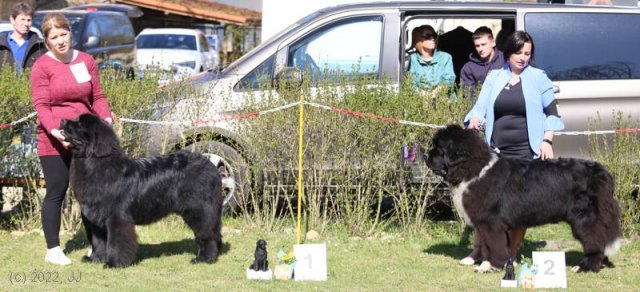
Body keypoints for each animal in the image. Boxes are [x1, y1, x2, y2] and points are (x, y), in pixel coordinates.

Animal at [60, 113, 224, 268]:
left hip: (199, 210)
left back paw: (204, 258)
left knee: (206, 235)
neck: (93, 163)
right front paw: (95, 259)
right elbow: (97, 241)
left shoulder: (117, 217)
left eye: (80, 124)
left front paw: (114, 263)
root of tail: (211, 166)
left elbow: (116, 242)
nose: (62, 120)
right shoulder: (95, 218)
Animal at [422, 124, 624, 272]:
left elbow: (494, 245)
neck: (475, 170)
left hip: (585, 218)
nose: (424, 154)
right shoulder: (483, 222)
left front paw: (491, 266)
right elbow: (487, 245)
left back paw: (585, 267)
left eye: (439, 148)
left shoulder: (490, 222)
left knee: (594, 240)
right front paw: (486, 263)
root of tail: (604, 173)